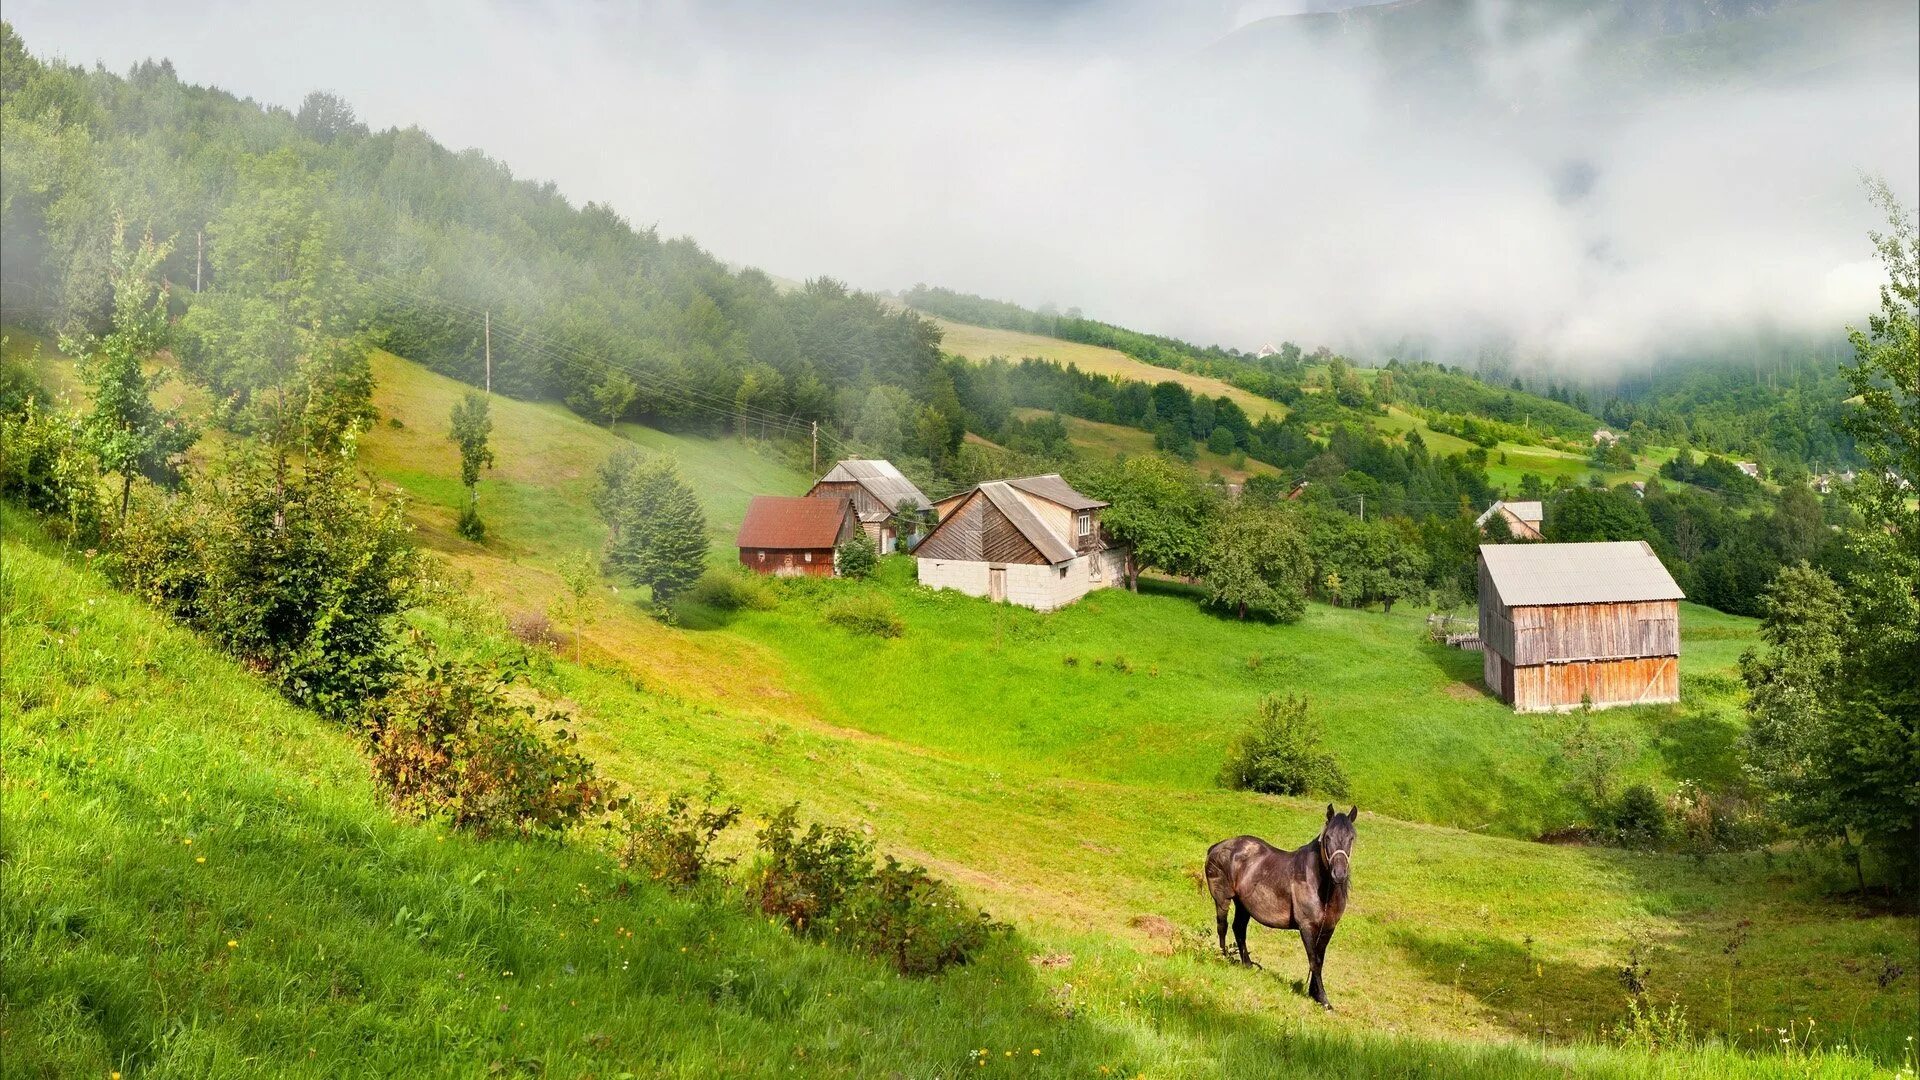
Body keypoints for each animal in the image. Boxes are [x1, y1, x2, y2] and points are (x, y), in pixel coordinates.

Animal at [1205, 803, 1359, 1006]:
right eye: (1328, 837)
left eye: (1351, 838)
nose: (1339, 874)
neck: (1320, 885)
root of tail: (1216, 847)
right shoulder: (1306, 927)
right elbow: (1314, 961)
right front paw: (1324, 1000)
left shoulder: (1328, 928)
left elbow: (1319, 959)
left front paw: (1315, 994)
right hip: (1222, 899)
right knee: (1222, 926)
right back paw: (1222, 958)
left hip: (1243, 905)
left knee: (1239, 929)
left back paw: (1247, 965)